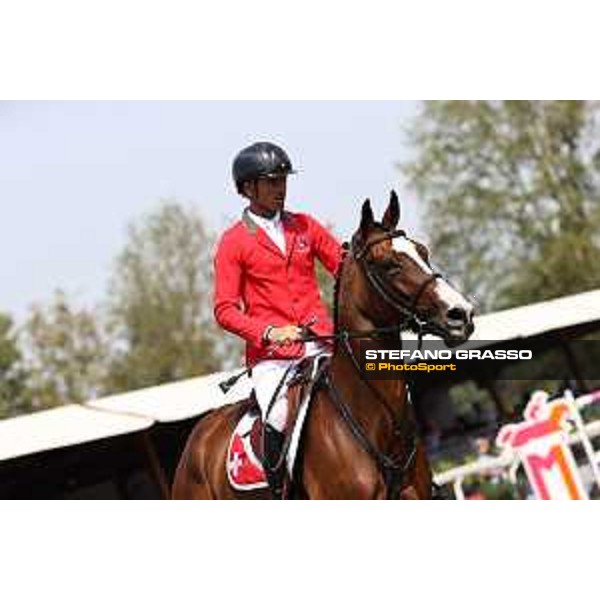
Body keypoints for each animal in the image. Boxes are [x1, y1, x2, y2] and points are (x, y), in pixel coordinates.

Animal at [172, 192, 474, 496]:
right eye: (389, 265)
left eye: (423, 252)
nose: (461, 314)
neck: (373, 414)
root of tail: (197, 439)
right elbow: (225, 307)